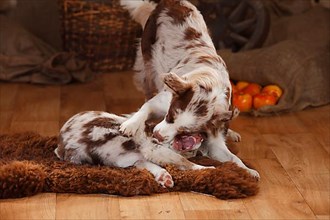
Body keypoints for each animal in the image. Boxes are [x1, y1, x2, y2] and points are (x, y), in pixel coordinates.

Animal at [120, 0, 260, 179]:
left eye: (185, 131)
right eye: (170, 115)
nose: (157, 135)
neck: (211, 82)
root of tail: (172, 2)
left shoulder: (214, 133)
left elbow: (233, 158)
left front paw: (248, 171)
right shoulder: (161, 101)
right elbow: (144, 109)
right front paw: (130, 125)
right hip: (149, 66)